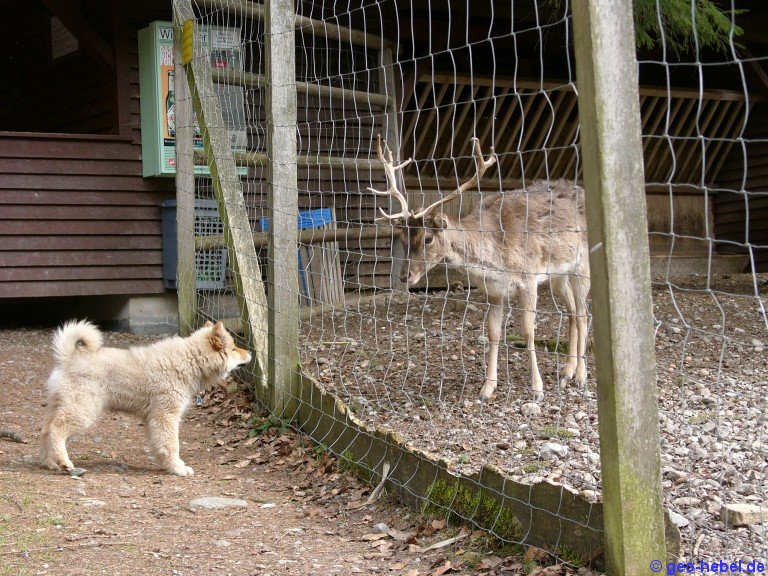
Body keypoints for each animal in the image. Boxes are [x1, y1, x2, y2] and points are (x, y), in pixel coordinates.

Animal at [40, 320, 251, 476]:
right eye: (233, 348)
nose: (249, 352)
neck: (190, 360)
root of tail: (68, 358)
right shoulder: (166, 415)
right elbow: (171, 445)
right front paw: (178, 468)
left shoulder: (153, 419)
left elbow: (160, 445)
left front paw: (167, 466)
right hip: (83, 410)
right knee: (56, 429)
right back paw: (64, 462)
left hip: (60, 406)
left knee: (46, 431)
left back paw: (51, 463)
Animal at [369, 136, 590, 403]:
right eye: (402, 238)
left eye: (427, 239)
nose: (404, 276)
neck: (495, 257)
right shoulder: (493, 290)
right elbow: (493, 332)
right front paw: (487, 389)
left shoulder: (528, 279)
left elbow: (528, 331)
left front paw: (537, 390)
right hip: (559, 275)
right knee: (572, 313)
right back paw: (567, 372)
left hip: (583, 264)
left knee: (583, 314)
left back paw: (581, 377)